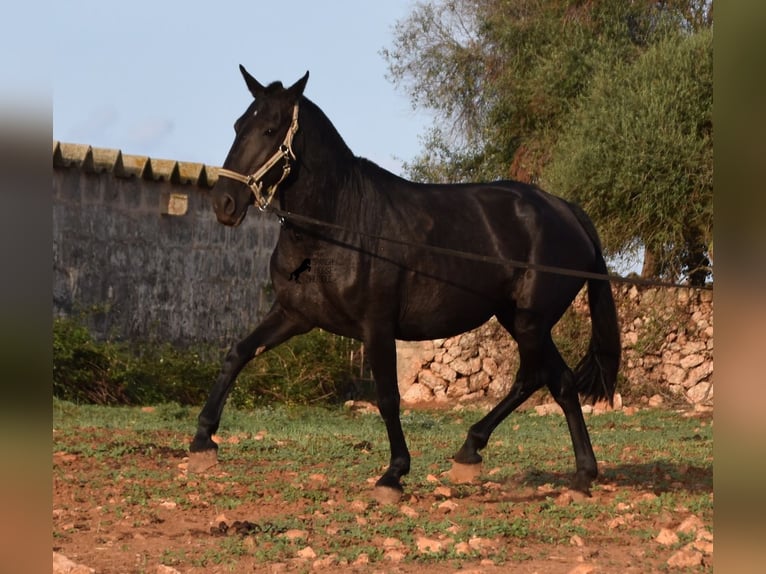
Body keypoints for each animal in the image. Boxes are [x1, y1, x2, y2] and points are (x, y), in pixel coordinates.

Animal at [189, 68, 620, 500]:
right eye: (238, 126)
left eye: (270, 128)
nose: (224, 203)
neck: (339, 225)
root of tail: (566, 210)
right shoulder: (295, 315)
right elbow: (239, 353)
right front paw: (202, 442)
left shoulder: (376, 326)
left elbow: (388, 397)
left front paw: (393, 474)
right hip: (517, 318)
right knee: (554, 381)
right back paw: (547, 468)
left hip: (531, 322)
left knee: (541, 379)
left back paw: (513, 460)